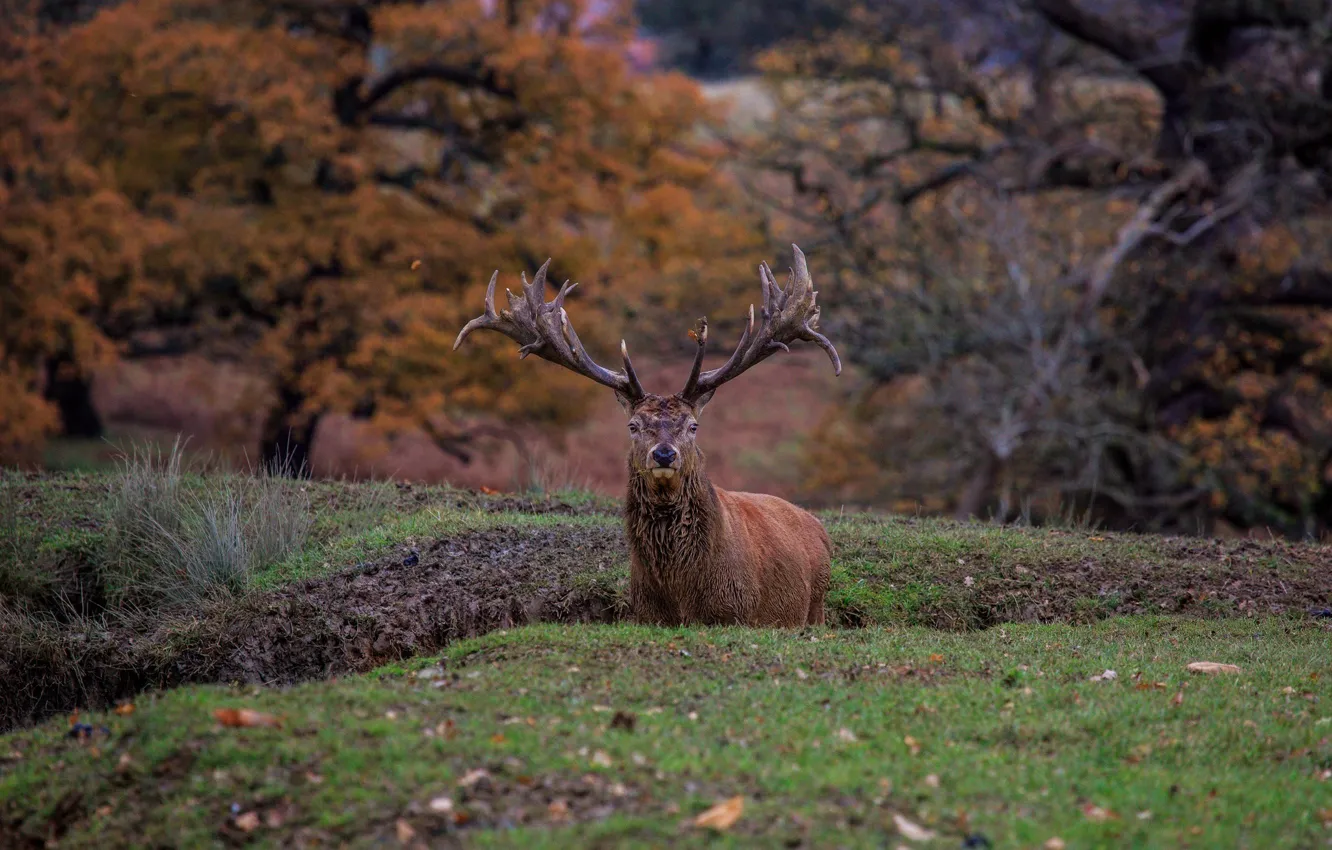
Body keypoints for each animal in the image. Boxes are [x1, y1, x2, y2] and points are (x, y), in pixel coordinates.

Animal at [453, 245, 841, 627]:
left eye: (693, 425)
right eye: (634, 425)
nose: (664, 454)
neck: (681, 595)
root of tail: (818, 526)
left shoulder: (738, 614)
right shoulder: (645, 614)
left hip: (817, 606)